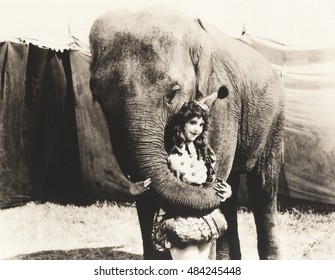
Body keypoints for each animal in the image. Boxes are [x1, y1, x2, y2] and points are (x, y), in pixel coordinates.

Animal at [90, 7, 286, 260]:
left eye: (173, 92)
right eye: (96, 94)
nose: (220, 93)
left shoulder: (224, 105)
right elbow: (148, 195)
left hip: (275, 117)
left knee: (262, 186)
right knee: (232, 185)